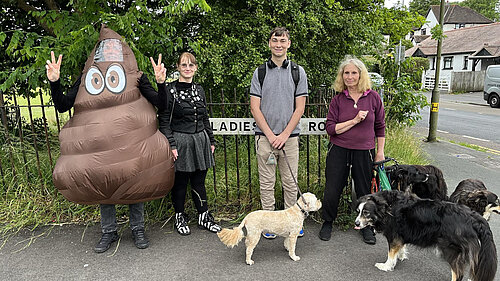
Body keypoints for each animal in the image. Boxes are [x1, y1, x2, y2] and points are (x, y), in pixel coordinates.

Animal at [356, 188, 496, 280]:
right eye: (358, 211)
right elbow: (400, 247)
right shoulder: (400, 235)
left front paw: (386, 266)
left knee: (458, 274)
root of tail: (474, 217)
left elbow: (391, 253)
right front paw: (400, 256)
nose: (356, 223)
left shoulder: (393, 235)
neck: (386, 206)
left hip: (451, 249)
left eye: (366, 213)